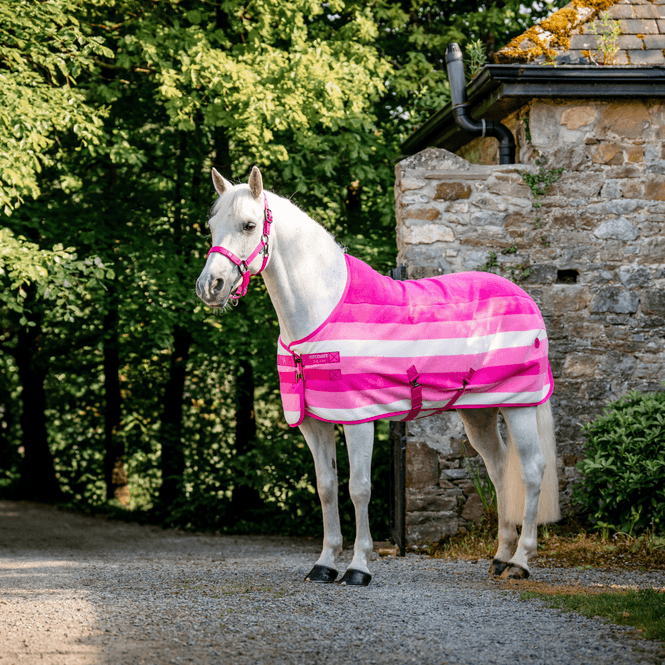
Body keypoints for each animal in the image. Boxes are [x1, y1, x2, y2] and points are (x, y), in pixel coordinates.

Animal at [196, 166, 560, 586]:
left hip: (519, 406)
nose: (209, 286)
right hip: (478, 412)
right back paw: (500, 556)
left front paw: (358, 567)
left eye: (249, 225)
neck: (320, 311)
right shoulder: (314, 423)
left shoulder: (359, 420)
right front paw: (324, 564)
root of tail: (524, 297)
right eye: (212, 226)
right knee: (499, 469)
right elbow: (326, 487)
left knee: (531, 471)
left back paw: (520, 561)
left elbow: (359, 489)